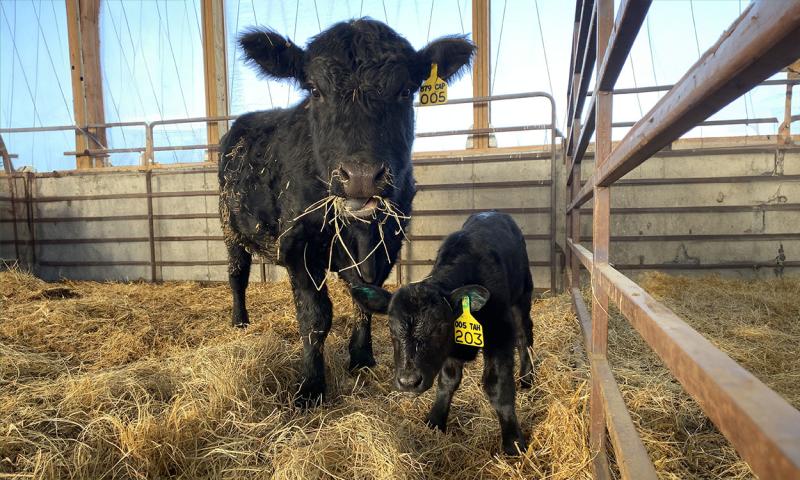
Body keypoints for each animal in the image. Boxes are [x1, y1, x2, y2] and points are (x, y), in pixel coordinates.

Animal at [218, 19, 474, 406]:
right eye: (314, 89)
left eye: (406, 90)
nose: (361, 176)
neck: (358, 231)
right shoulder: (298, 246)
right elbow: (315, 316)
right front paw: (311, 385)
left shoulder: (388, 241)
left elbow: (366, 299)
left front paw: (361, 356)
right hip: (229, 225)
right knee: (237, 274)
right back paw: (239, 320)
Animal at [351, 211, 534, 454]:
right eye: (390, 327)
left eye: (439, 327)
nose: (408, 382)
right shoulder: (450, 350)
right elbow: (447, 380)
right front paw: (435, 420)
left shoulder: (500, 333)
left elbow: (498, 386)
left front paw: (513, 441)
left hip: (523, 296)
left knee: (524, 336)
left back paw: (527, 378)